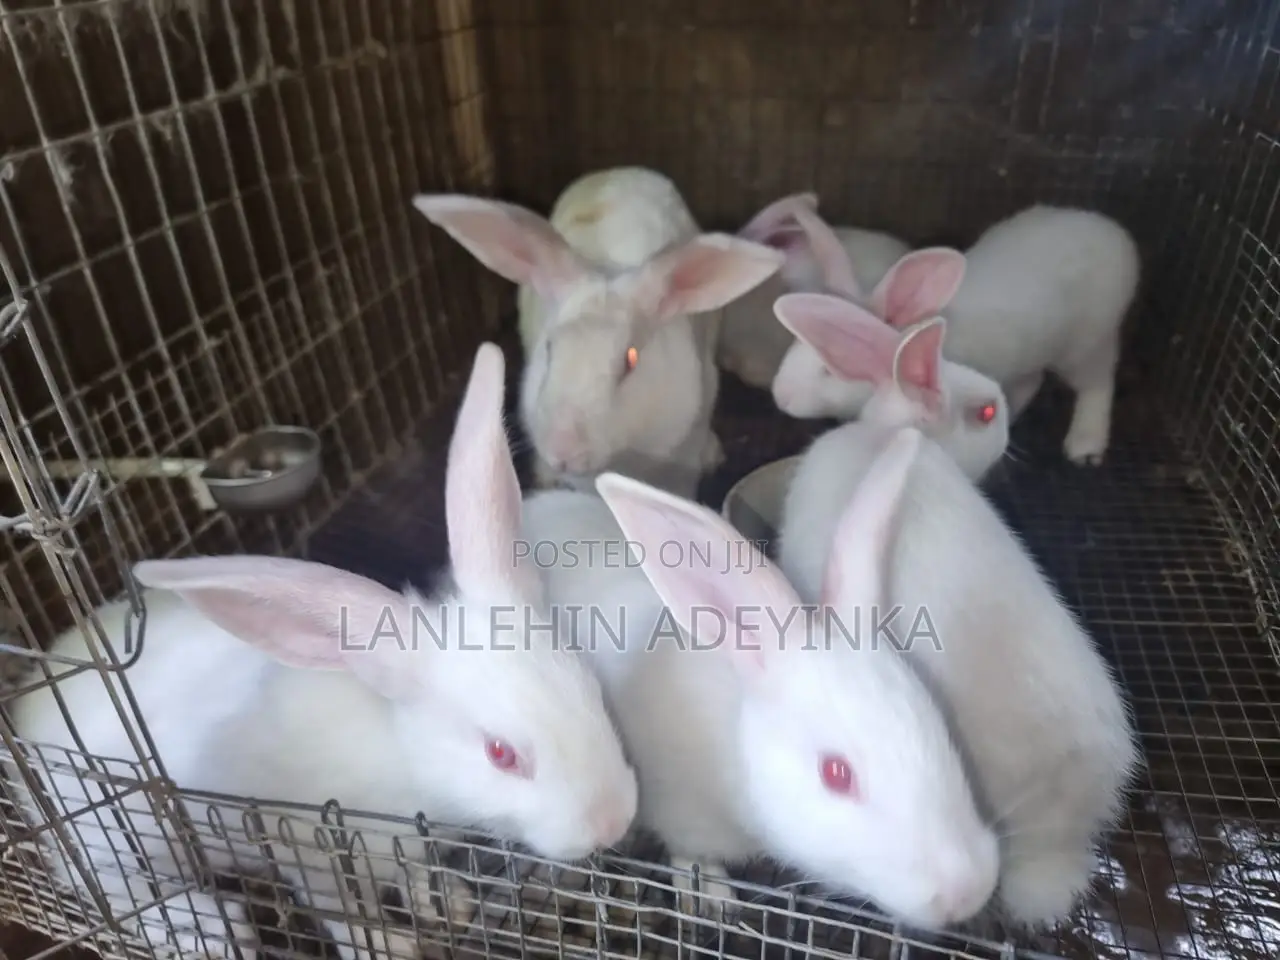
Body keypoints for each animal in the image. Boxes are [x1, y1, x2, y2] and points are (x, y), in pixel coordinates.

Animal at [5, 342, 639, 960]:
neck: (397, 755)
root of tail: (30, 698)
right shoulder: (303, 845)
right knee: (108, 886)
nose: (611, 823)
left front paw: (447, 903)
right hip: (117, 835)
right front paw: (385, 946)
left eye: (594, 693)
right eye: (501, 753)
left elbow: (414, 873)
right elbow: (339, 906)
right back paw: (211, 928)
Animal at [516, 428, 1002, 934]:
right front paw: (711, 898)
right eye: (836, 774)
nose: (968, 891)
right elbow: (693, 856)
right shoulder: (682, 813)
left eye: (939, 728)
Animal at [774, 204, 1140, 465]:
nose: (779, 396)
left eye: (828, 369)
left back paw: (1085, 446)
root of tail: (1117, 236)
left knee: (1098, 384)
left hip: (1087, 344)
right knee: (1032, 380)